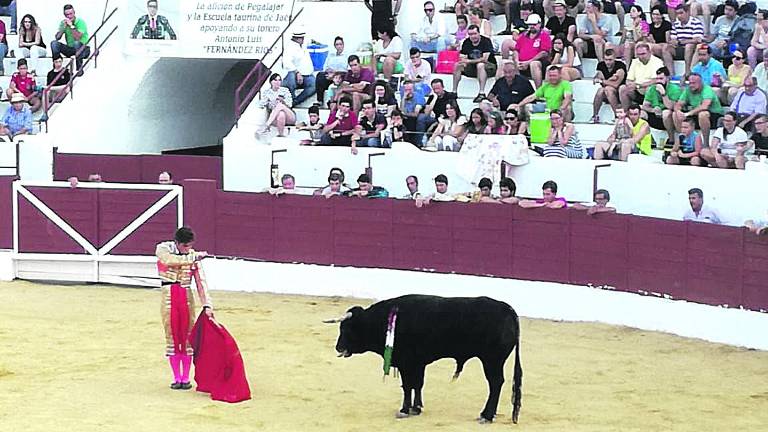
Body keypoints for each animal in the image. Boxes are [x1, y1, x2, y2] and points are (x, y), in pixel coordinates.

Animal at [324, 294, 520, 422]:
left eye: (347, 328)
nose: (338, 347)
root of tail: (507, 308)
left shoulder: (406, 363)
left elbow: (407, 386)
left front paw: (404, 410)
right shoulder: (417, 363)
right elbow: (417, 384)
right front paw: (416, 408)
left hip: (492, 360)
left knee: (495, 383)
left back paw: (486, 415)